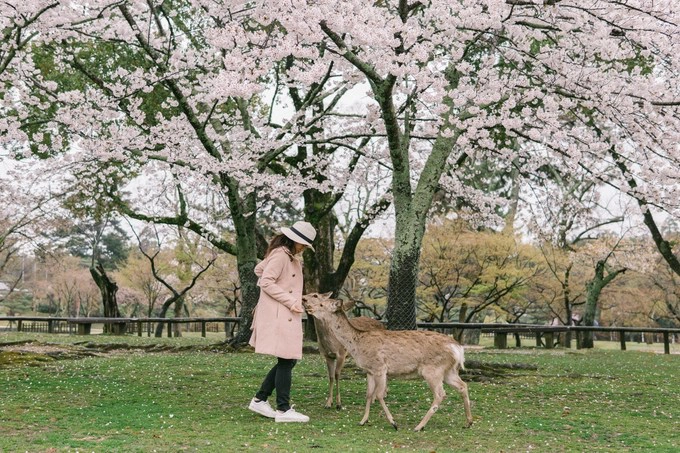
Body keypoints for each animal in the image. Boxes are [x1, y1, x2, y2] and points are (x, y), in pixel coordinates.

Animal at [302, 292, 472, 430]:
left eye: (321, 303)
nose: (308, 308)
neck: (357, 344)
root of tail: (458, 348)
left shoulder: (380, 368)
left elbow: (379, 395)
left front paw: (393, 423)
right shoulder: (369, 370)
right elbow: (369, 394)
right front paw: (363, 420)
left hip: (433, 370)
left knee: (440, 394)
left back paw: (419, 426)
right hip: (449, 370)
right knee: (463, 386)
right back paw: (468, 422)